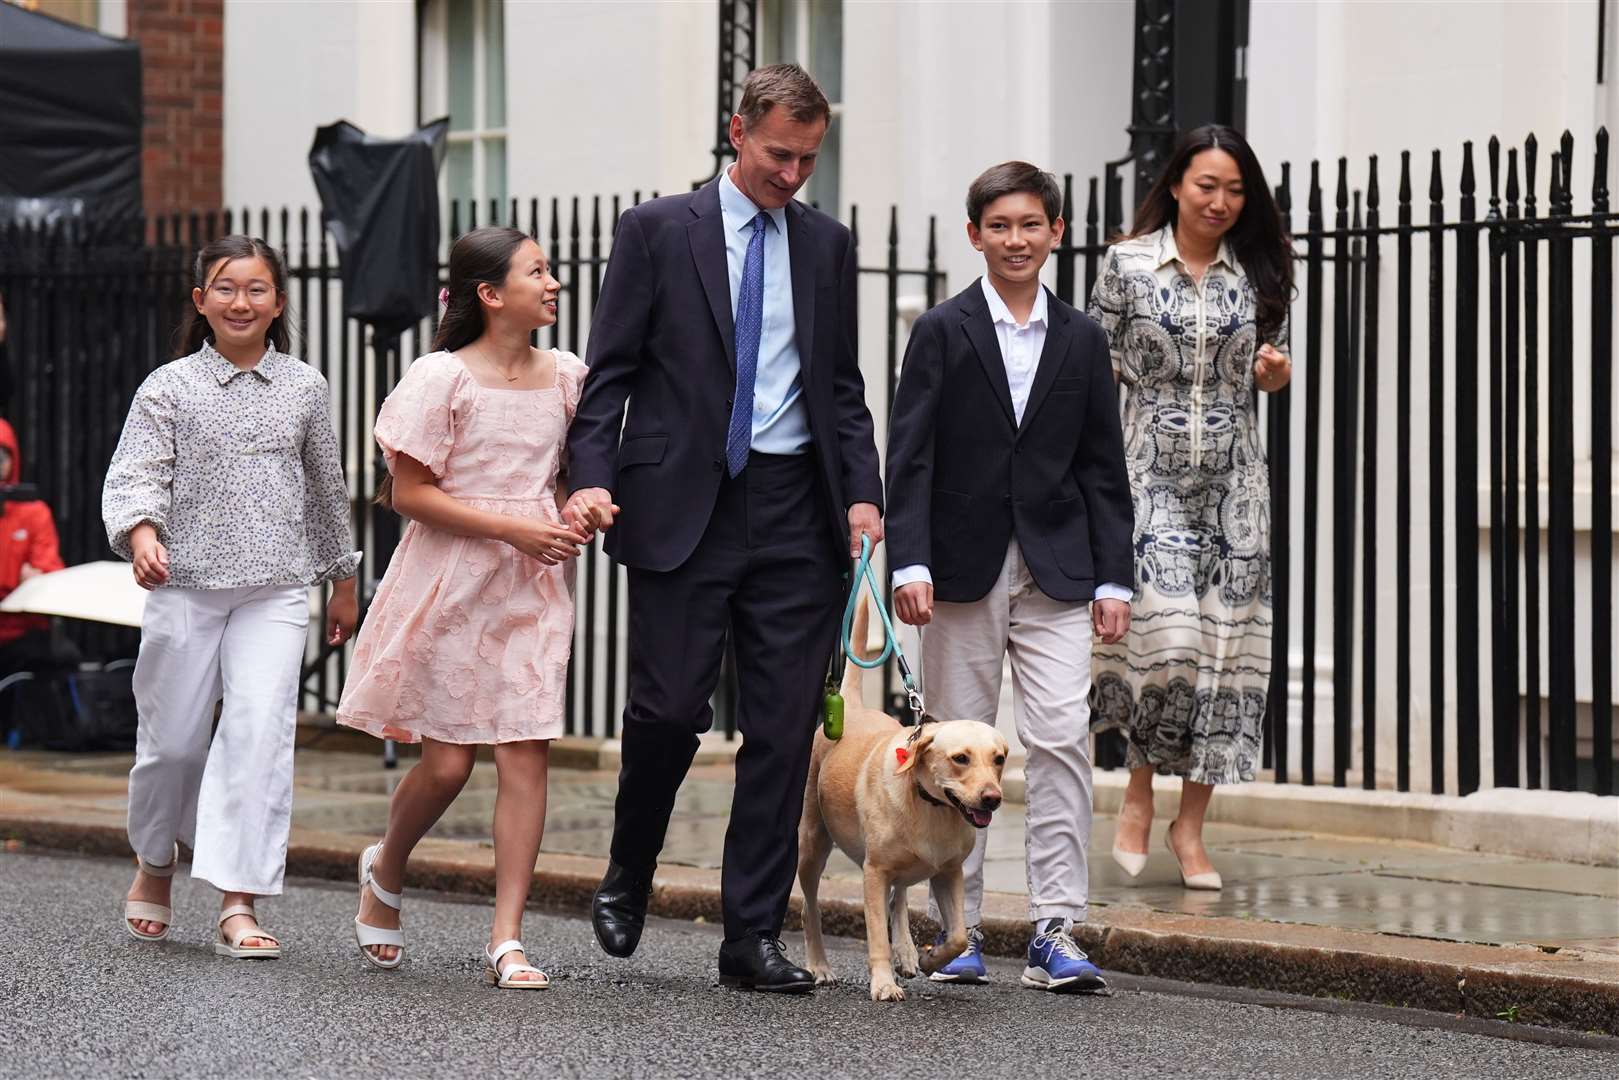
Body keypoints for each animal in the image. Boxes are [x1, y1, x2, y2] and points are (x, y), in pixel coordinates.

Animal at [793, 605, 1003, 1003]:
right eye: (960, 758)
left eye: (999, 759)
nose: (993, 799)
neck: (931, 806)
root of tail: (853, 707)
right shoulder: (874, 872)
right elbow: (876, 934)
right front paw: (884, 983)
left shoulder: (948, 871)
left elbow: (957, 935)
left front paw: (932, 958)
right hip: (811, 847)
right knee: (810, 910)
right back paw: (820, 965)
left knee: (901, 894)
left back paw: (906, 951)